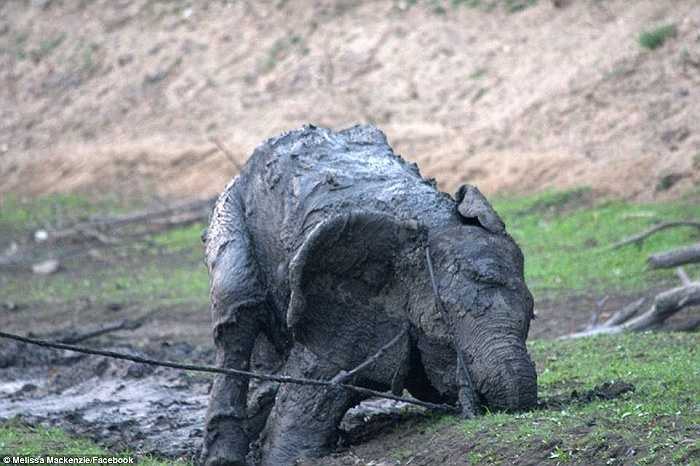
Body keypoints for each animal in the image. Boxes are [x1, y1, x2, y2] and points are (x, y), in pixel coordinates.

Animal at [200, 124, 540, 466]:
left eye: (530, 314)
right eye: (442, 326)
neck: (431, 222)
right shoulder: (341, 311)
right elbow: (302, 412)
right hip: (231, 212)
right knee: (237, 314)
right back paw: (224, 457)